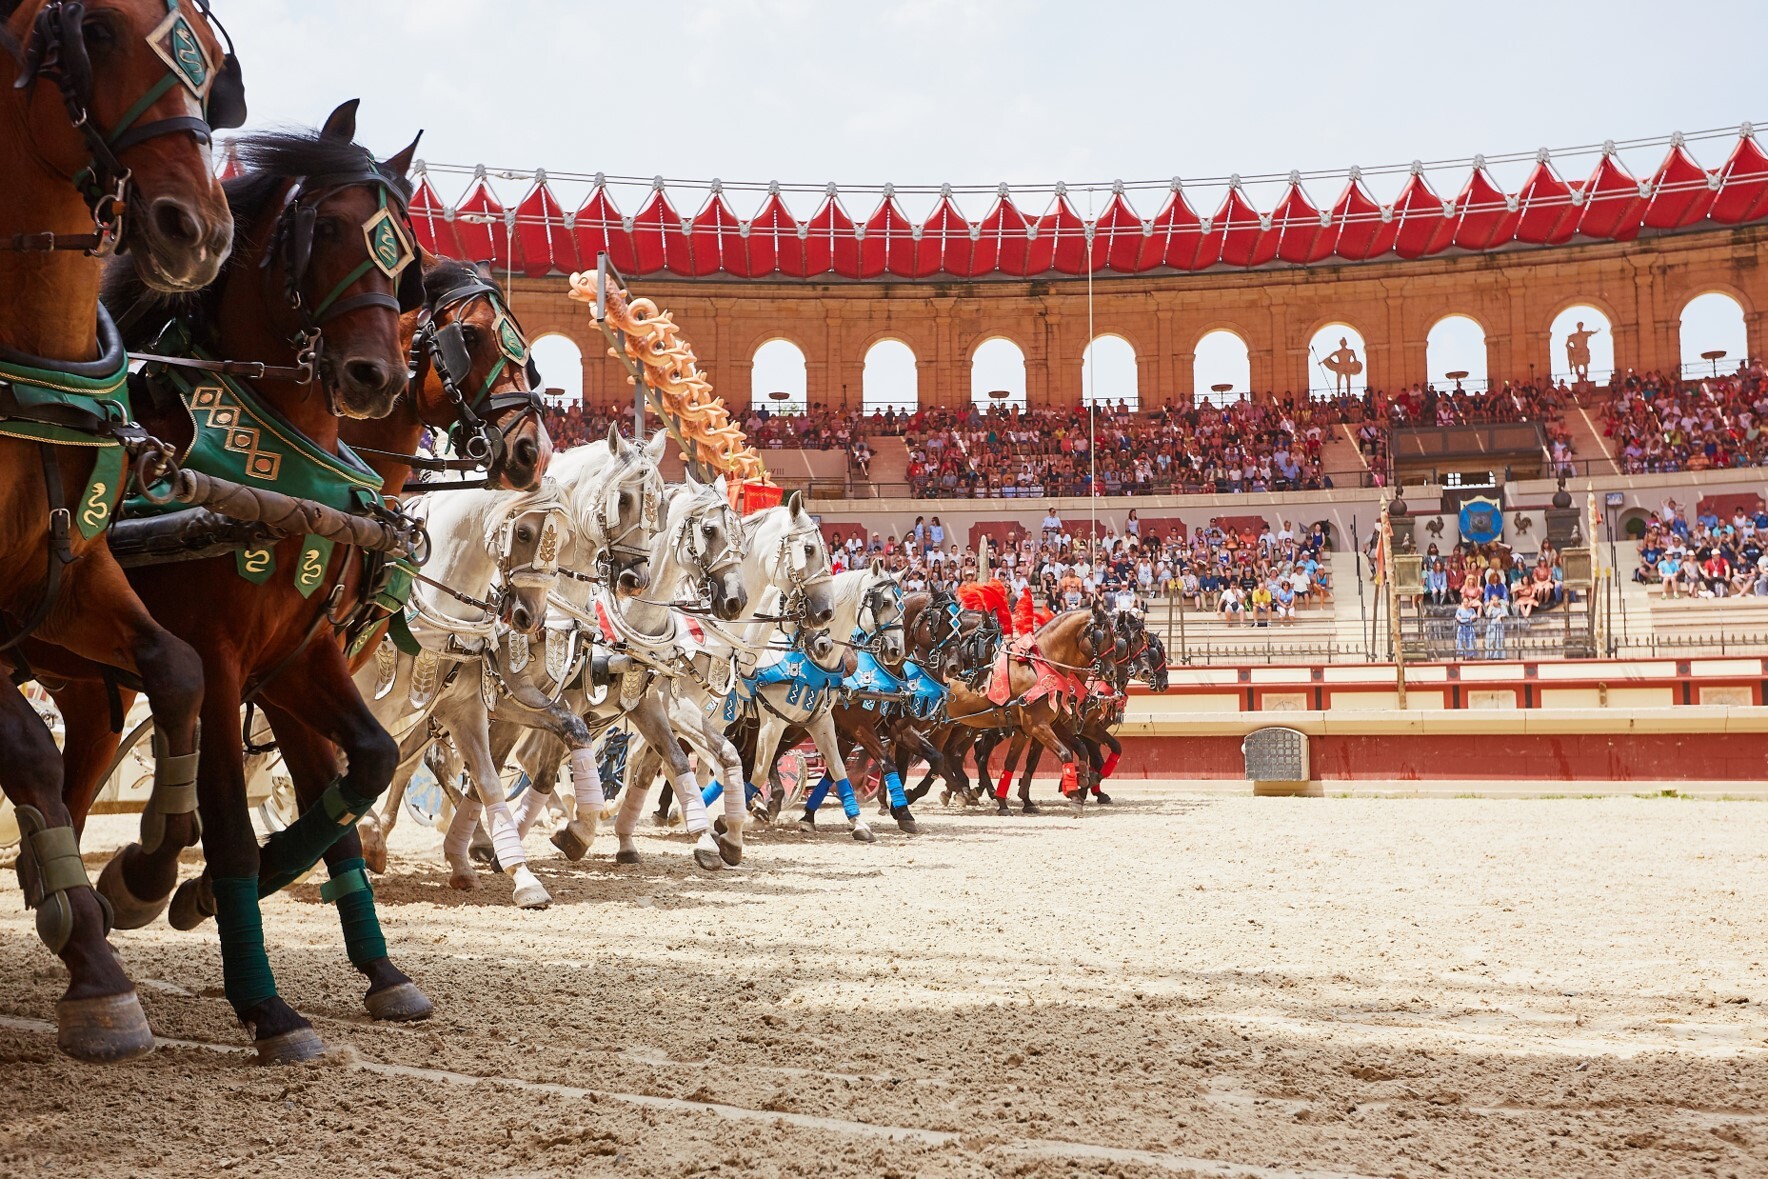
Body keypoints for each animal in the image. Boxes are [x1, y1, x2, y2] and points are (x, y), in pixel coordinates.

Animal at [38, 98, 424, 1060]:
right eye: (328, 227)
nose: (375, 376)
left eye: (404, 255)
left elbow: (366, 769)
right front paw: (264, 1000)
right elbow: (230, 825)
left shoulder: (298, 657)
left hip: (84, 678)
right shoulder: (215, 660)